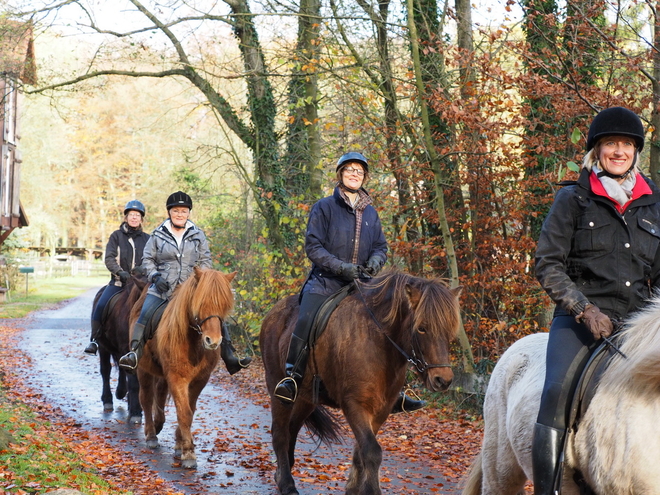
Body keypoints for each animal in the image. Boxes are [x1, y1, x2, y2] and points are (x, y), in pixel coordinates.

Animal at [91, 270, 148, 424]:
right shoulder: (126, 350)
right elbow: (134, 382)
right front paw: (136, 412)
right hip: (103, 347)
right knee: (106, 370)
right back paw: (108, 400)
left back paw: (122, 393)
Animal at [130, 268, 236, 468]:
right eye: (200, 302)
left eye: (224, 305)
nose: (213, 341)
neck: (193, 342)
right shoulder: (177, 378)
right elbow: (184, 412)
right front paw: (188, 453)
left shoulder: (200, 380)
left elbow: (189, 411)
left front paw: (180, 444)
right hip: (143, 370)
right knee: (146, 399)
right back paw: (151, 434)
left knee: (160, 395)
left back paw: (159, 424)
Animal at [260, 272, 462, 495]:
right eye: (422, 328)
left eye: (449, 329)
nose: (443, 379)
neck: (377, 342)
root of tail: (272, 314)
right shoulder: (354, 405)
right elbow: (372, 451)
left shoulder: (381, 410)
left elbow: (360, 451)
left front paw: (353, 488)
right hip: (278, 389)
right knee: (280, 433)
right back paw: (287, 483)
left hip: (306, 399)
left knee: (292, 429)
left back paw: (283, 473)